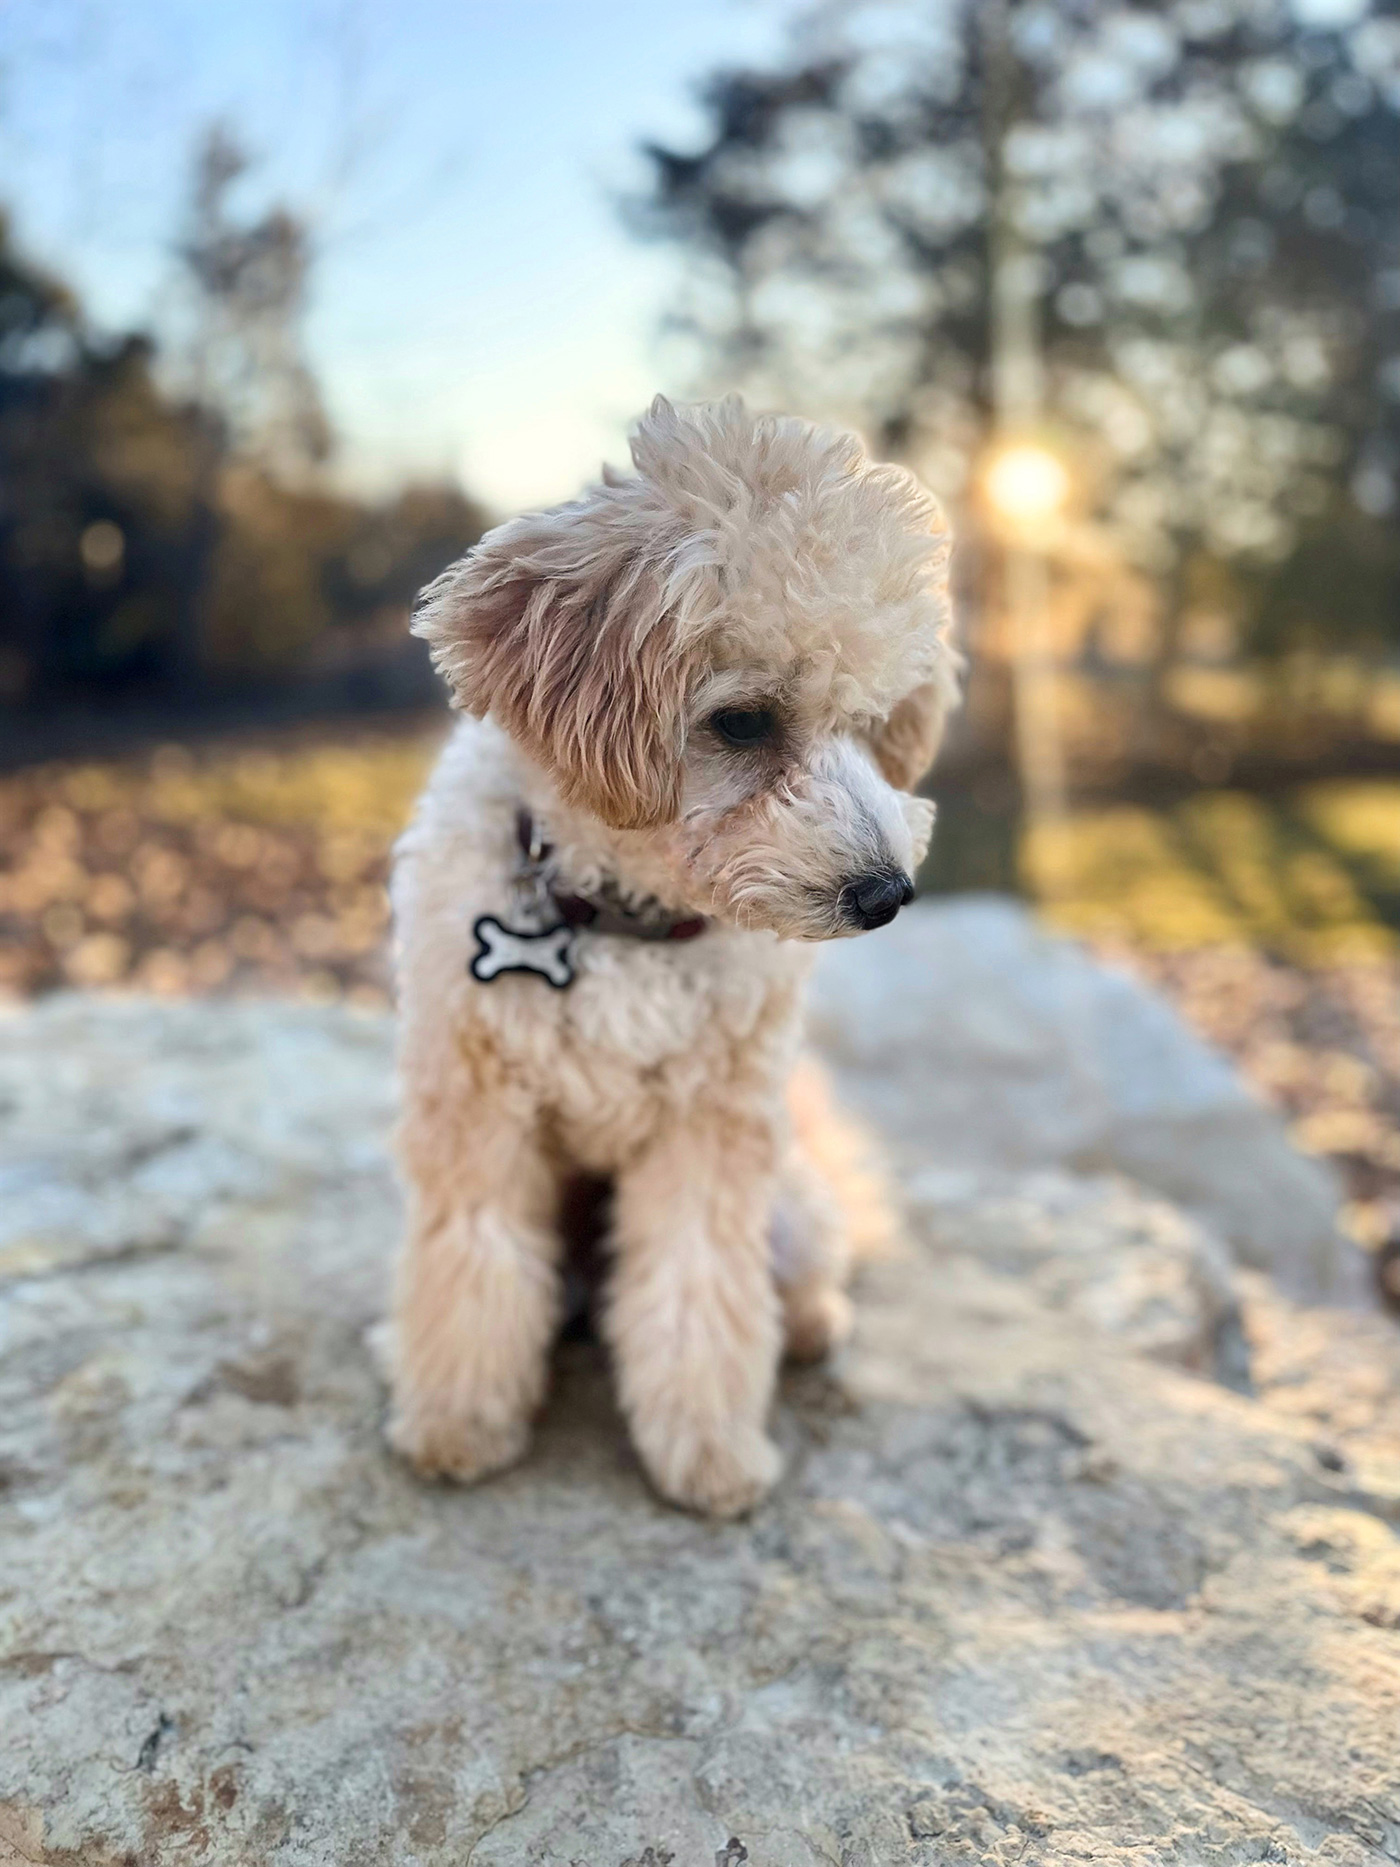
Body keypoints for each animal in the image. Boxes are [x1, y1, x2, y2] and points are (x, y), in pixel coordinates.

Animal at [384, 393, 963, 1516]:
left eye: (874, 722)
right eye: (740, 720)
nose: (886, 895)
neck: (622, 917)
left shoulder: (712, 1124)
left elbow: (699, 1287)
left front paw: (707, 1452)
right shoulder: (475, 1109)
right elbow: (472, 1262)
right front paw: (457, 1421)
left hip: (790, 1202)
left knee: (796, 1276)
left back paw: (811, 1326)